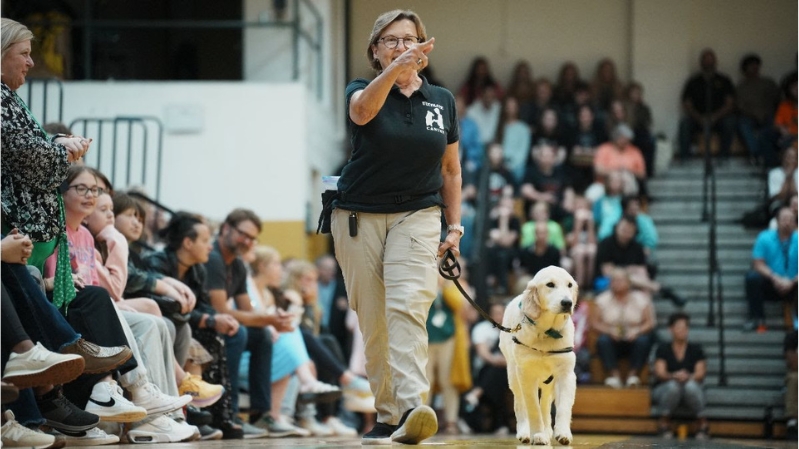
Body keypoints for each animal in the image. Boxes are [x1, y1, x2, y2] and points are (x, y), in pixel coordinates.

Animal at [496, 264, 580, 442]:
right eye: (550, 285)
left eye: (569, 285)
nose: (567, 303)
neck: (546, 332)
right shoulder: (526, 374)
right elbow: (532, 408)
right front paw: (538, 435)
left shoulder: (566, 374)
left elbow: (563, 407)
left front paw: (562, 433)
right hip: (513, 374)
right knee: (520, 403)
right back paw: (525, 432)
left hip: (550, 382)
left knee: (546, 403)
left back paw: (548, 429)